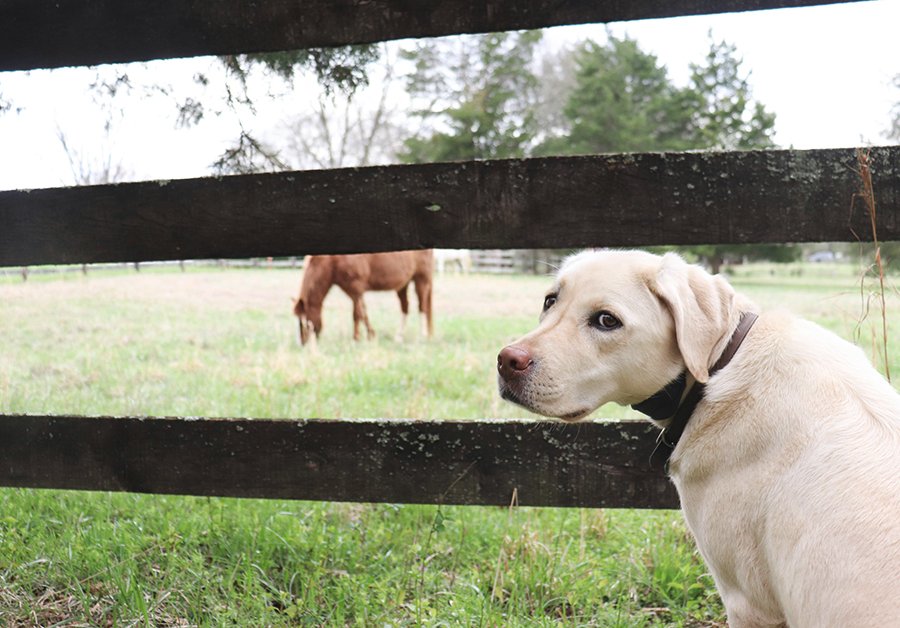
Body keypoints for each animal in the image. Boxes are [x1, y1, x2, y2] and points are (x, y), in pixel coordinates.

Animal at [292, 250, 434, 346]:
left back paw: (423, 335)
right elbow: (364, 313)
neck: (333, 260)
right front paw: (371, 335)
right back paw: (399, 337)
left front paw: (356, 339)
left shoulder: (356, 289)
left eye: (304, 320)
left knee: (422, 307)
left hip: (421, 280)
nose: (302, 343)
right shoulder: (354, 292)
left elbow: (357, 314)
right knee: (405, 308)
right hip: (403, 285)